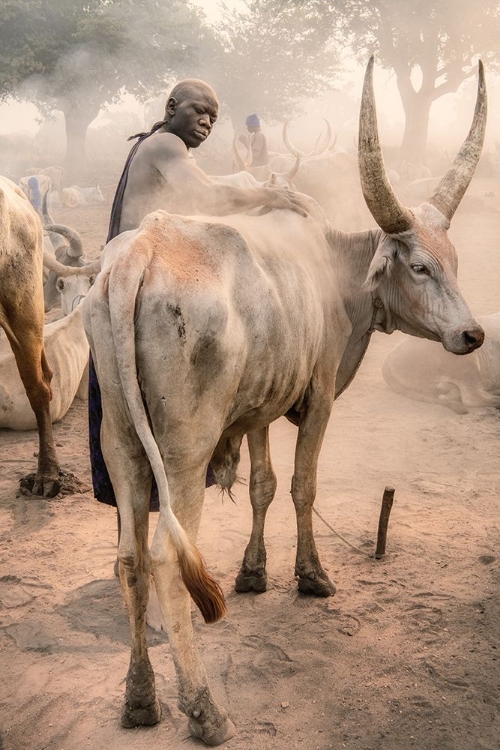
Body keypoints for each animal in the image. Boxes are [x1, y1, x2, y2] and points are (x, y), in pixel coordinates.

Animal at [83, 60, 488, 748]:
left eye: (454, 261)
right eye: (420, 266)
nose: (472, 334)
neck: (335, 271)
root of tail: (139, 255)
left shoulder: (259, 408)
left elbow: (262, 485)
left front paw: (253, 573)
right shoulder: (318, 393)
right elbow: (302, 485)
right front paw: (311, 575)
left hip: (123, 443)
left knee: (130, 558)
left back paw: (140, 698)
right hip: (184, 449)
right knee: (166, 559)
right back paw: (204, 709)